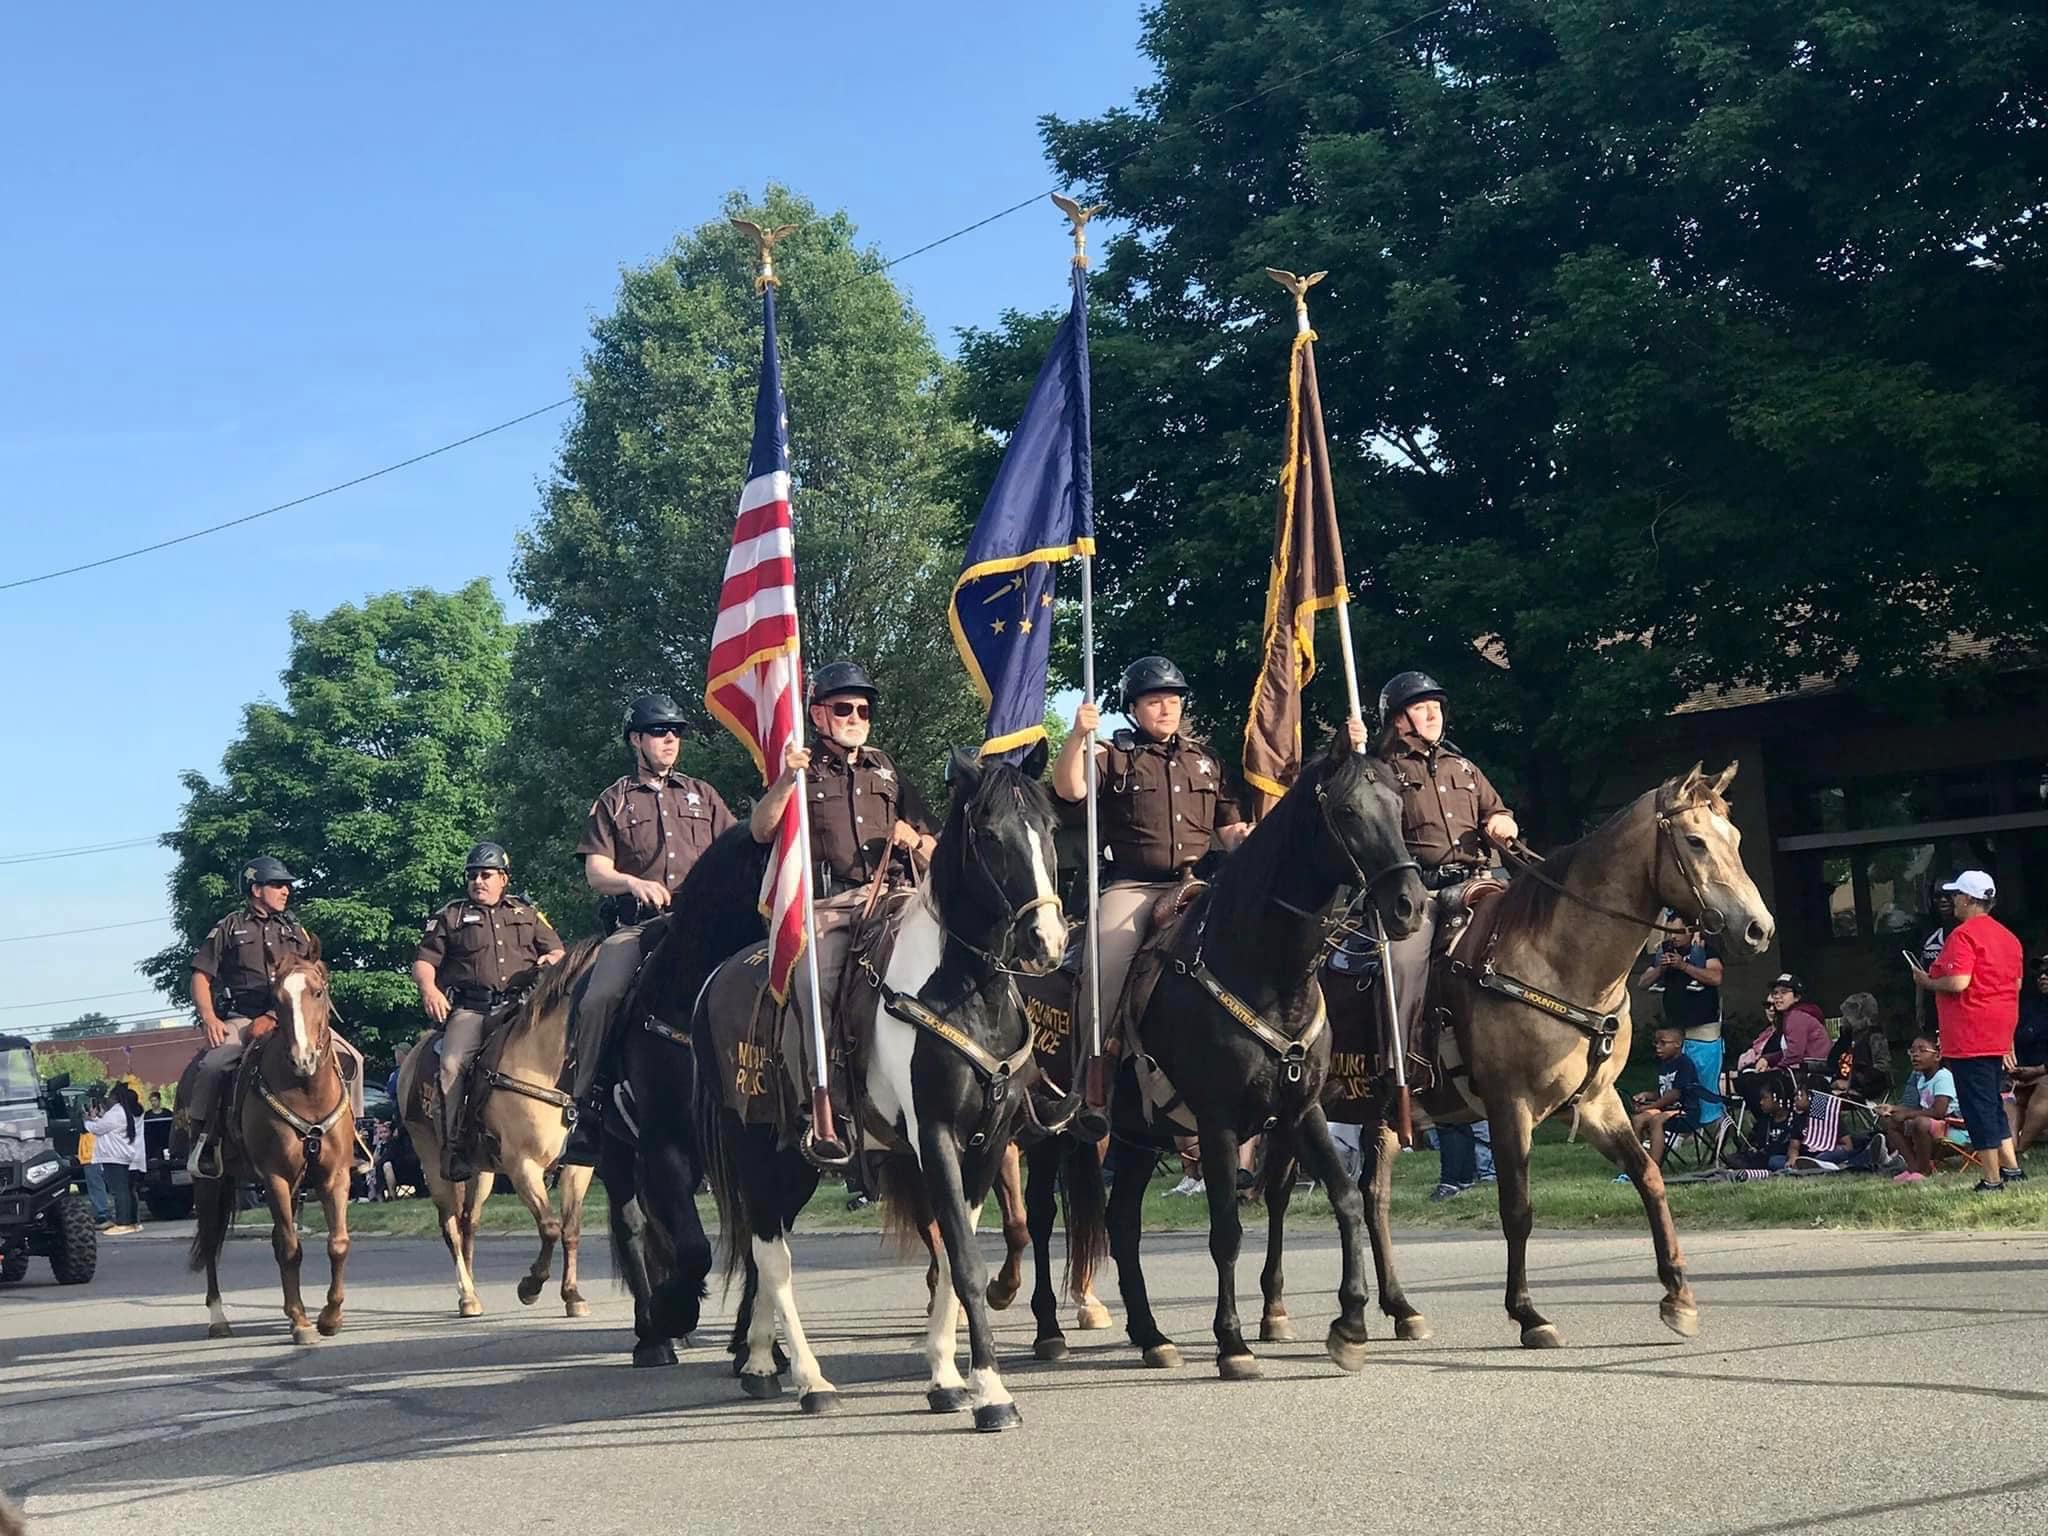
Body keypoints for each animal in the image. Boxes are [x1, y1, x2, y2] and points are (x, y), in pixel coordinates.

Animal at [188, 950, 352, 1343]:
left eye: (318, 992)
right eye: (276, 1000)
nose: (303, 1058)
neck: (307, 1090)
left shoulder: (335, 1176)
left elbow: (337, 1243)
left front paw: (330, 1317)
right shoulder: (275, 1177)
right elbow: (291, 1248)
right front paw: (302, 1323)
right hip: (209, 1184)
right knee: (212, 1242)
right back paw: (218, 1318)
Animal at [395, 937, 598, 1327]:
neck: (548, 1067)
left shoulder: (578, 1168)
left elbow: (570, 1230)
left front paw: (572, 1295)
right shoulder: (523, 1165)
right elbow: (550, 1226)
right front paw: (530, 1286)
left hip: (481, 1172)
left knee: (469, 1223)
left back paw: (472, 1290)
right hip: (433, 1164)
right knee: (451, 1227)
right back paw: (467, 1295)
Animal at [696, 745, 1064, 1433]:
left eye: (1048, 829)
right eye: (988, 834)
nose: (1048, 942)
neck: (964, 992)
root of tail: (716, 980)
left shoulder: (987, 1141)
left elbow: (953, 1253)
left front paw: (947, 1377)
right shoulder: (934, 1135)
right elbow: (965, 1262)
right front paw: (992, 1393)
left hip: (798, 1160)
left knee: (764, 1248)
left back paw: (759, 1362)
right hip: (756, 1146)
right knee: (772, 1255)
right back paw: (811, 1381)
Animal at [1081, 733, 1433, 1384]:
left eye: (1399, 807)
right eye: (1347, 811)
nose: (1409, 906)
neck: (1268, 971)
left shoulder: (1303, 1109)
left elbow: (1348, 1198)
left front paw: (1350, 1325)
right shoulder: (1217, 1123)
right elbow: (1226, 1229)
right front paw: (1232, 1344)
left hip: (1138, 1136)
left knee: (1121, 1223)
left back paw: (1151, 1336)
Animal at [1310, 765, 1777, 1351]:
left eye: (1734, 839)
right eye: (1694, 841)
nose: (1758, 928)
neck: (1554, 960)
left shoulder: (1599, 1103)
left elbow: (1648, 1175)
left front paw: (1678, 1296)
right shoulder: (1510, 1106)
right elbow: (1518, 1208)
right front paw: (1528, 1313)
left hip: (1383, 1118)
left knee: (1373, 1198)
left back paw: (1399, 1308)